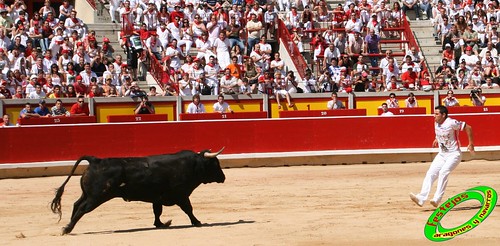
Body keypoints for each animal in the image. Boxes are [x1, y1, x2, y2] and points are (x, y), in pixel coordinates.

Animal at [49, 148, 226, 234]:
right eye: (215, 164)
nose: (223, 177)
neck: (193, 165)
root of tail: (95, 160)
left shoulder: (157, 197)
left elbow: (157, 211)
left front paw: (161, 224)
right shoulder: (181, 195)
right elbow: (189, 209)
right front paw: (197, 222)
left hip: (88, 194)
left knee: (76, 204)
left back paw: (68, 225)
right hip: (97, 197)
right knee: (81, 208)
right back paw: (67, 229)